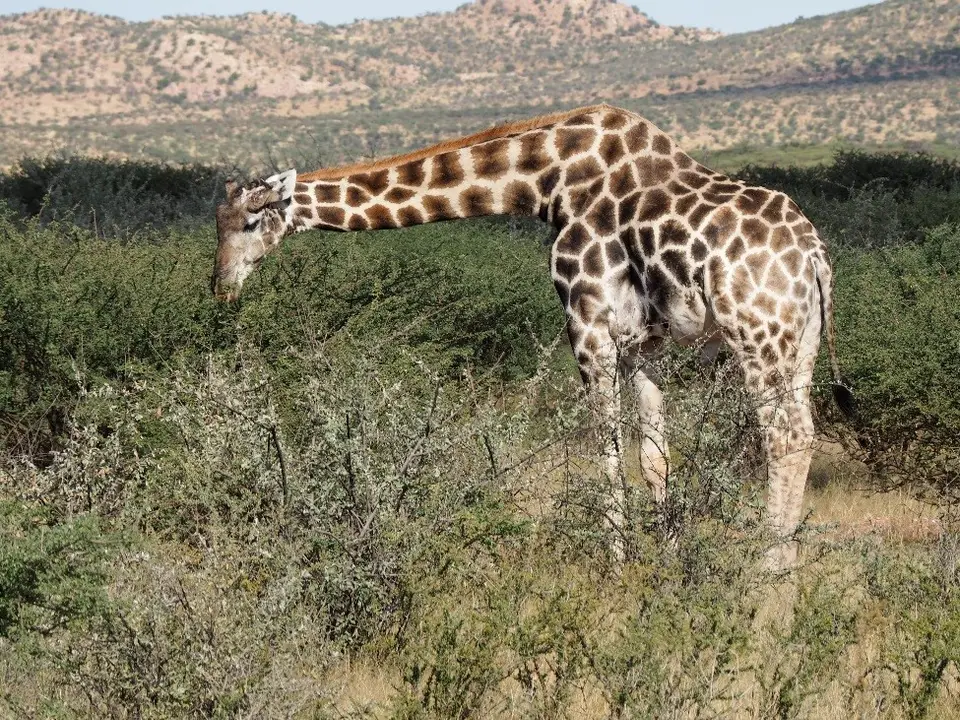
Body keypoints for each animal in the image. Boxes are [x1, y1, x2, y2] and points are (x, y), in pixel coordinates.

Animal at [211, 104, 853, 570]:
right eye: (217, 223)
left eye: (251, 220)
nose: (221, 287)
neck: (547, 184)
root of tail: (814, 256)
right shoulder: (644, 343)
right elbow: (653, 455)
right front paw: (668, 559)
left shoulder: (587, 322)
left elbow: (604, 449)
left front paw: (616, 564)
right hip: (801, 344)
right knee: (804, 431)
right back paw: (789, 561)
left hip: (759, 336)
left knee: (786, 436)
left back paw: (770, 569)